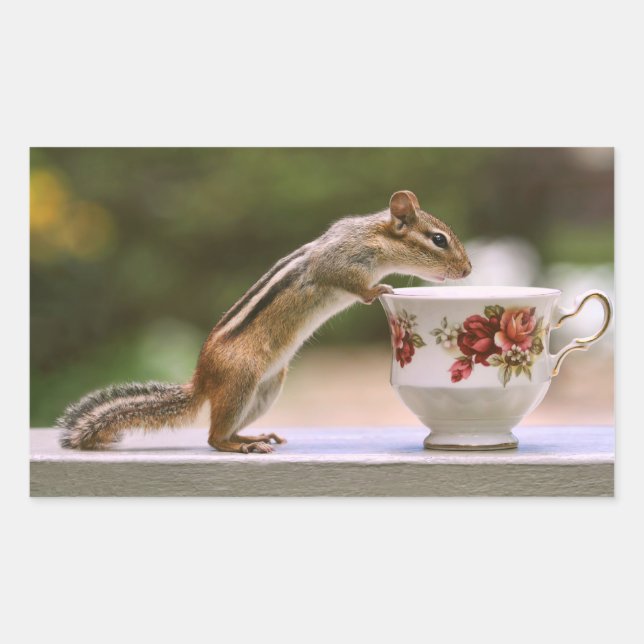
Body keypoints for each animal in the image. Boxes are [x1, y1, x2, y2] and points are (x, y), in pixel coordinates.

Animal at [58, 190, 472, 453]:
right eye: (438, 240)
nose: (468, 269)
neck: (376, 236)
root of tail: (202, 378)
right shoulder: (341, 261)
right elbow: (353, 283)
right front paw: (381, 289)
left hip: (266, 389)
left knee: (226, 429)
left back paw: (252, 438)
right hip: (242, 380)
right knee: (212, 438)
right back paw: (241, 447)